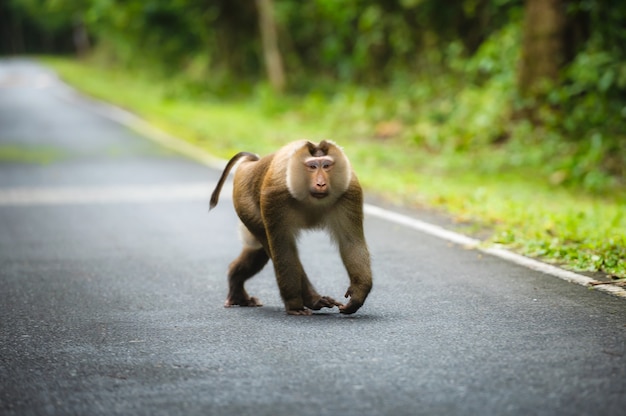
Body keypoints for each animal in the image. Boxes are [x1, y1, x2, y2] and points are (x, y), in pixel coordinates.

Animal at [211, 140, 370, 316]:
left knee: (260, 251)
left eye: (327, 165)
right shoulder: (274, 196)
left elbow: (351, 242)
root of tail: (250, 164)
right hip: (245, 204)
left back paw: (237, 287)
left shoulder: (350, 190)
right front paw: (295, 304)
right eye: (312, 166)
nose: (321, 183)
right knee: (268, 243)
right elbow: (283, 248)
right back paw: (312, 299)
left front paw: (358, 294)